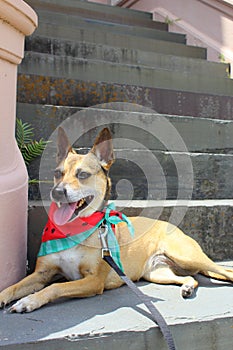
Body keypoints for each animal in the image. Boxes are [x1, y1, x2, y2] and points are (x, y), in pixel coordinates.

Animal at [0, 127, 233, 314]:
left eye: (82, 174)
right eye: (58, 173)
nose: (57, 192)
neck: (74, 229)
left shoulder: (93, 281)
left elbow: (56, 287)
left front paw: (29, 301)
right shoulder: (41, 273)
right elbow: (13, 287)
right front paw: (6, 296)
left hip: (187, 256)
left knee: (224, 271)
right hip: (157, 273)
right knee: (190, 278)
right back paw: (187, 286)